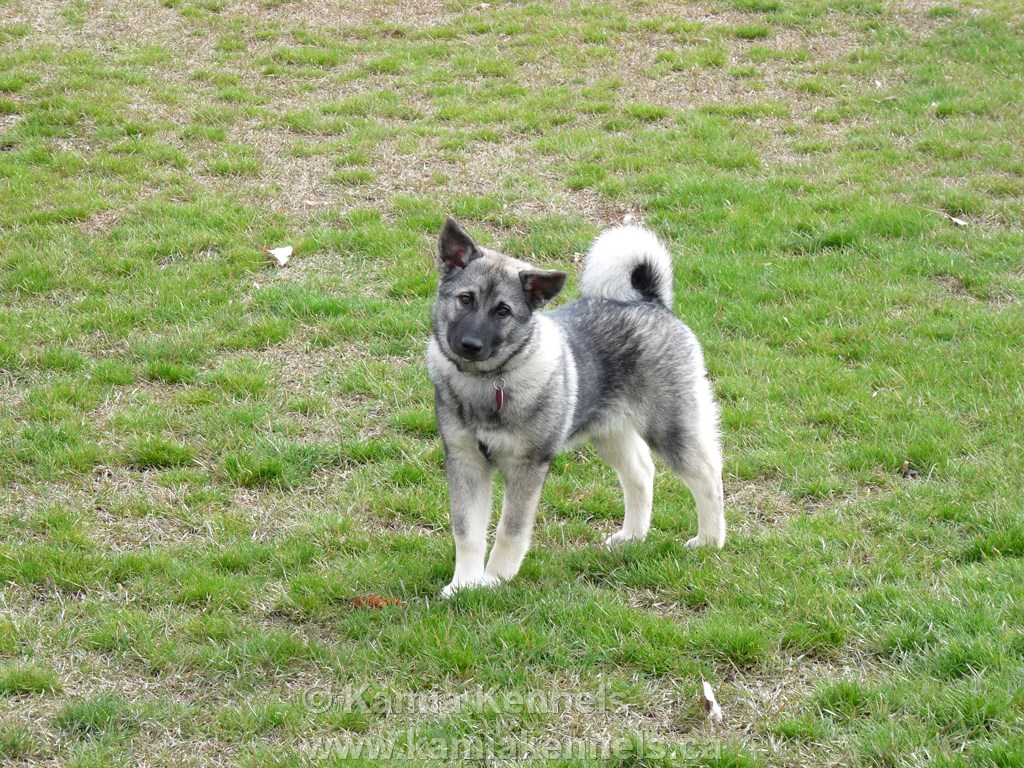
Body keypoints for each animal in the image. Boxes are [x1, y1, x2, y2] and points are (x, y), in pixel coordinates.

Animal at [428, 219, 724, 598]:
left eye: (503, 311)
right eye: (465, 299)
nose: (470, 344)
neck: (489, 382)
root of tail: (651, 302)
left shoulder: (527, 468)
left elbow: (510, 530)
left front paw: (494, 579)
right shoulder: (465, 463)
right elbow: (467, 532)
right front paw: (464, 584)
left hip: (671, 428)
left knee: (707, 476)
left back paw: (709, 540)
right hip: (610, 433)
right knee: (641, 474)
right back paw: (632, 536)